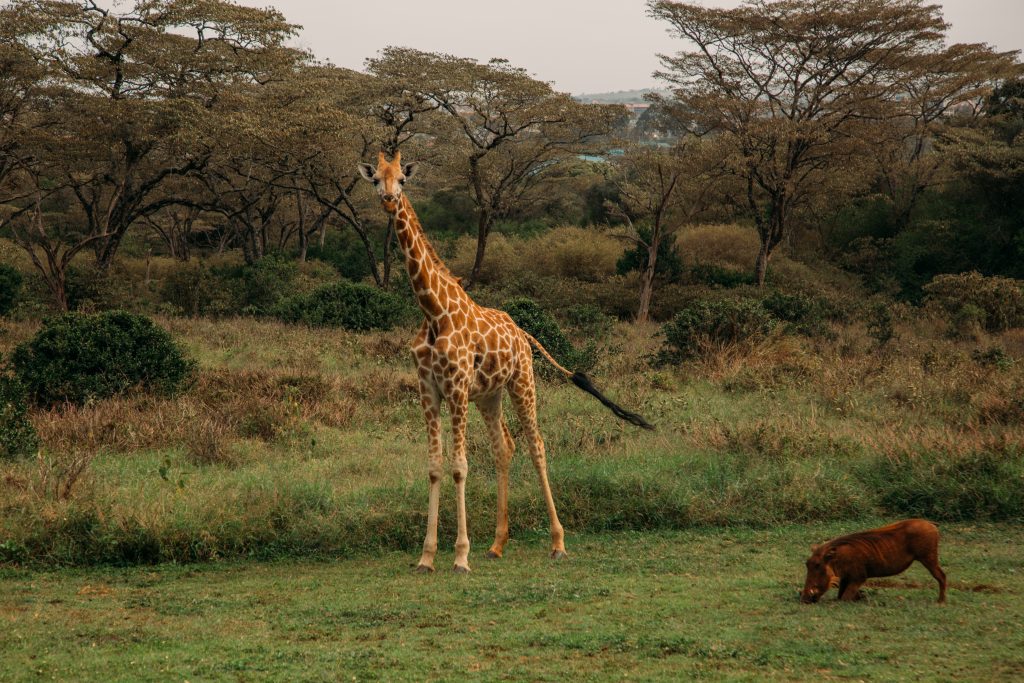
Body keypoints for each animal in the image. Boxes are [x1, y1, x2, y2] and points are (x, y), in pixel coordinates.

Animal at [358, 152, 647, 573]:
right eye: (376, 179)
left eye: (403, 180)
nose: (389, 200)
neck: (433, 312)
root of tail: (523, 334)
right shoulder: (428, 390)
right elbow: (435, 466)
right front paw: (427, 556)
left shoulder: (456, 388)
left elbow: (460, 466)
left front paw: (460, 556)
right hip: (489, 396)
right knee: (504, 447)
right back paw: (497, 544)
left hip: (522, 382)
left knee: (536, 445)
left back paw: (558, 542)